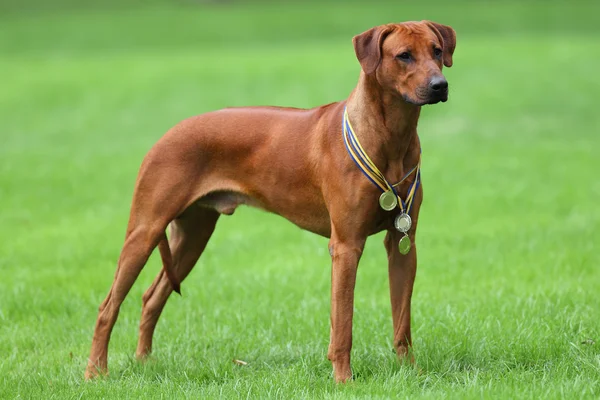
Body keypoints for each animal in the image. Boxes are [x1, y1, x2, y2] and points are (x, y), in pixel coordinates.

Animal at [85, 20, 454, 382]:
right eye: (403, 56)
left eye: (437, 51)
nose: (440, 85)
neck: (389, 136)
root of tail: (168, 133)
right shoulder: (346, 246)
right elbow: (343, 324)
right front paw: (343, 380)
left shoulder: (403, 240)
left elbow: (402, 320)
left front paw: (411, 373)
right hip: (145, 230)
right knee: (108, 306)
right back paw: (95, 372)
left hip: (192, 237)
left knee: (151, 297)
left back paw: (144, 362)